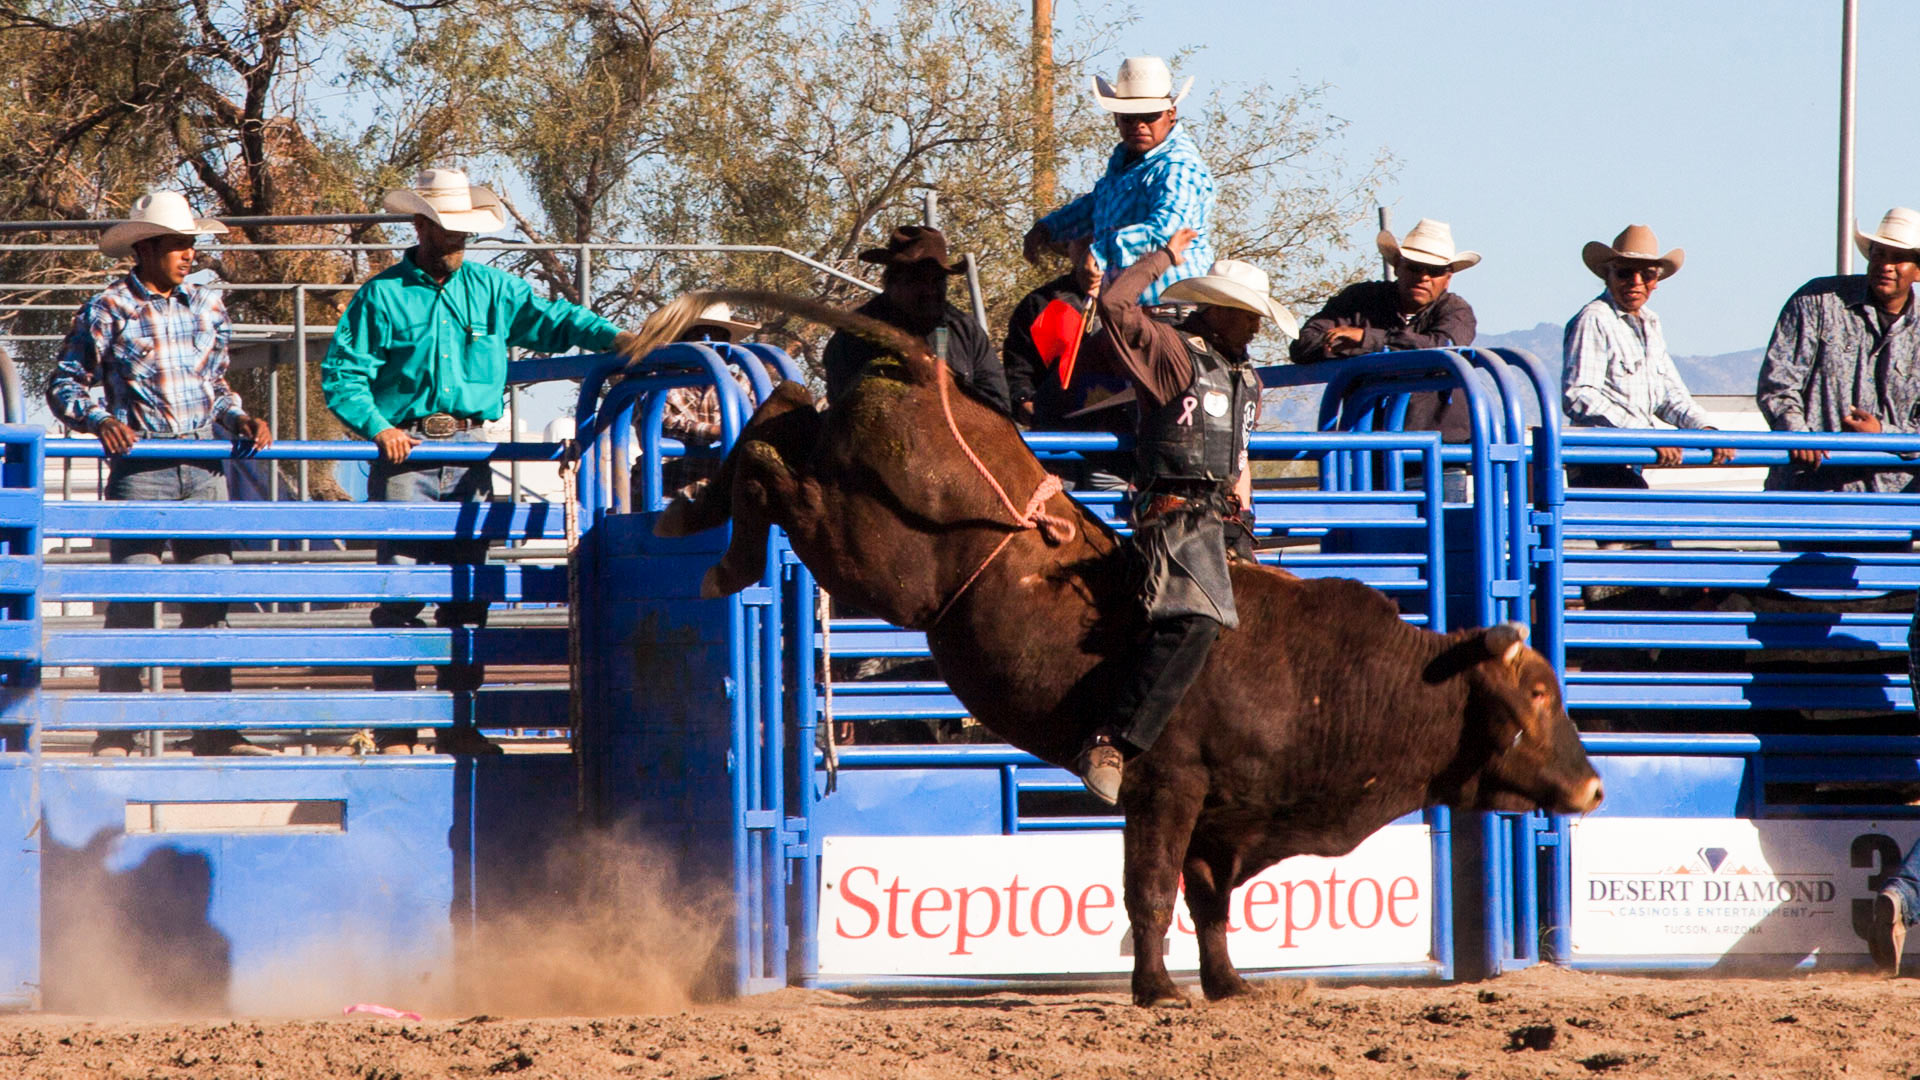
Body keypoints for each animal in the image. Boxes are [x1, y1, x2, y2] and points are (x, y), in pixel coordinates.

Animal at [633, 286, 1605, 999]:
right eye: (1537, 695)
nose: (1594, 786)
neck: (1333, 678)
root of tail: (931, 367)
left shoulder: (1229, 817)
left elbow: (1209, 903)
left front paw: (1227, 985)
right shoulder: (1166, 787)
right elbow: (1152, 889)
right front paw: (1158, 991)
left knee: (785, 411)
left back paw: (696, 507)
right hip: (879, 558)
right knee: (778, 469)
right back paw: (720, 546)